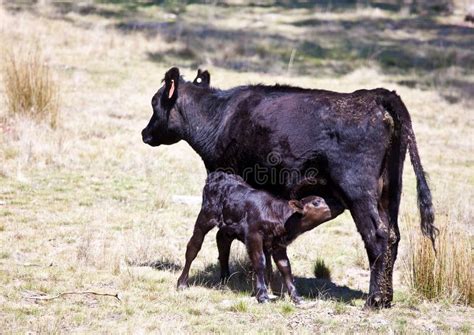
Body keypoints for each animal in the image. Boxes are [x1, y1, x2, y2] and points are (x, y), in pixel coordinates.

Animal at [142, 67, 436, 308]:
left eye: (155, 102)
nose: (145, 133)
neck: (220, 118)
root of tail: (374, 96)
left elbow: (227, 239)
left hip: (358, 191)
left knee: (377, 236)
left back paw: (373, 300)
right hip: (391, 190)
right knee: (394, 236)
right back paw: (386, 298)